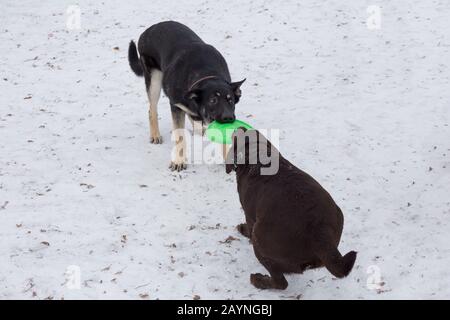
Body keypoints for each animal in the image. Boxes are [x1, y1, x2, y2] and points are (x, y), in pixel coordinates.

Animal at [126, 21, 246, 171]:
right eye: (213, 100)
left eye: (231, 100)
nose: (228, 118)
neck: (206, 75)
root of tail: (149, 29)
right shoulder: (176, 106)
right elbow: (180, 137)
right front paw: (178, 161)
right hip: (154, 80)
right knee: (152, 110)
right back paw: (155, 134)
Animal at [227, 128, 356, 290]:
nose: (240, 128)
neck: (257, 154)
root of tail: (319, 232)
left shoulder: (249, 216)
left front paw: (243, 229)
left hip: (260, 239)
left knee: (280, 282)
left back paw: (259, 280)